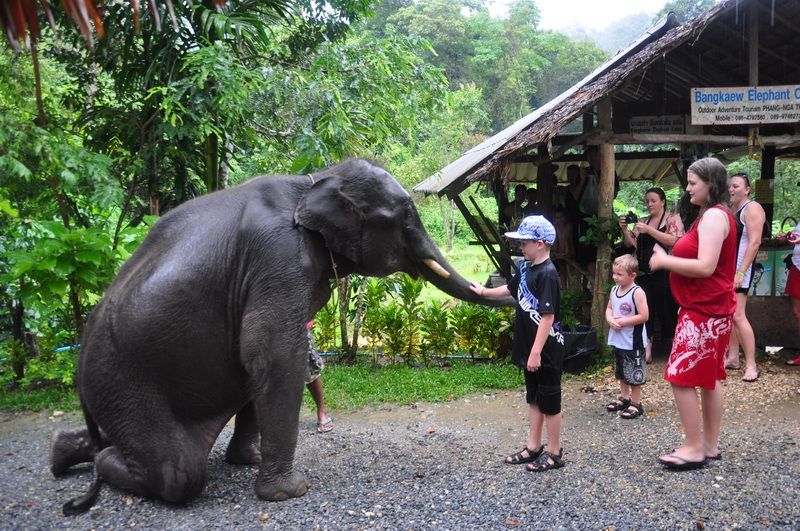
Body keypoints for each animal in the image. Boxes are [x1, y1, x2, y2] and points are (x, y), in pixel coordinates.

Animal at [53, 159, 512, 516]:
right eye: (404, 219)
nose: (499, 280)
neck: (315, 180)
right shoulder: (279, 257)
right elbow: (272, 351)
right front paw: (290, 492)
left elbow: (258, 361)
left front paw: (248, 461)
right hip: (121, 379)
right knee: (178, 472)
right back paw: (97, 462)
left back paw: (62, 452)